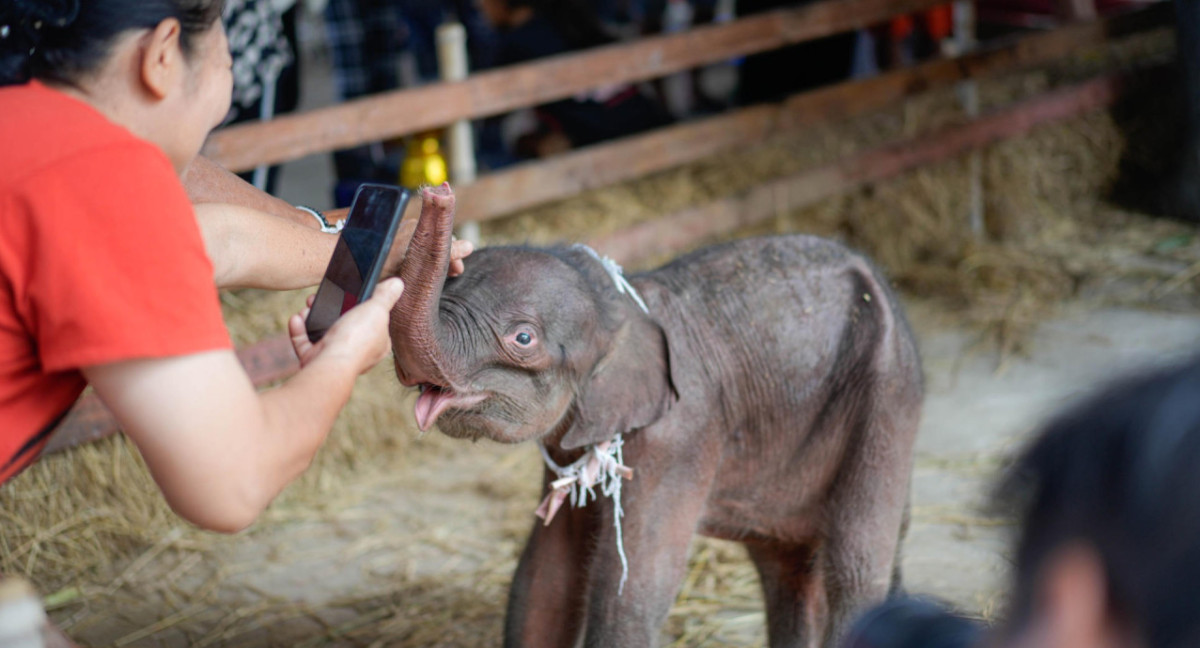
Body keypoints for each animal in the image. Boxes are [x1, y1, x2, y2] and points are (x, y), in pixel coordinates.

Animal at [388, 184, 921, 643]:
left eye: (523, 338)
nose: (436, 192)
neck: (621, 306)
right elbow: (544, 576)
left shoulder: (678, 436)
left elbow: (633, 588)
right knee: (788, 565)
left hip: (886, 393)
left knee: (856, 564)